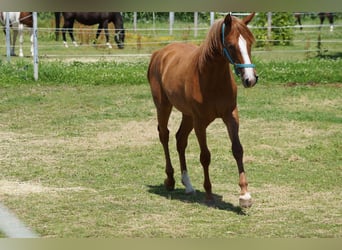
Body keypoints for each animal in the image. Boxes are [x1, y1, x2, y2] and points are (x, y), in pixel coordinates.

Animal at [148, 12, 258, 208]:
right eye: (231, 45)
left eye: (250, 43)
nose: (250, 79)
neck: (211, 79)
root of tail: (159, 54)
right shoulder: (200, 122)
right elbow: (205, 156)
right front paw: (208, 194)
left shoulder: (231, 115)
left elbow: (237, 149)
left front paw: (245, 195)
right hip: (163, 106)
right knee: (164, 135)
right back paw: (170, 180)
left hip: (187, 115)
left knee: (180, 139)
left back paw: (188, 184)